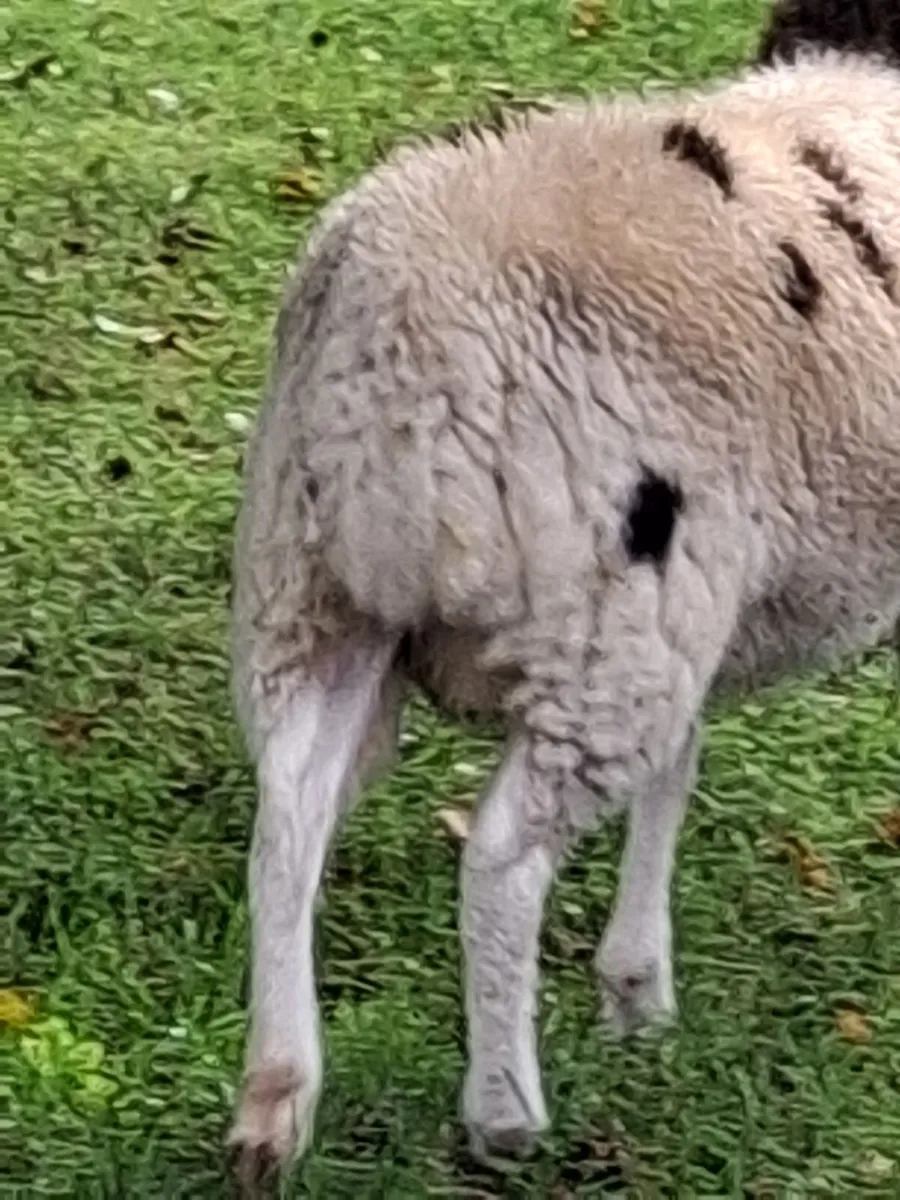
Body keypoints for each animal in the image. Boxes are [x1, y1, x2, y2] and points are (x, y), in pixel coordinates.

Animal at [227, 0, 900, 1183]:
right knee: (500, 861)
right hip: (605, 616)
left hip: (312, 590)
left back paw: (275, 1103)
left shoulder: (706, 613)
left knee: (289, 821)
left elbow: (678, 771)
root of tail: (397, 356)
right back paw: (504, 1114)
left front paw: (635, 991)